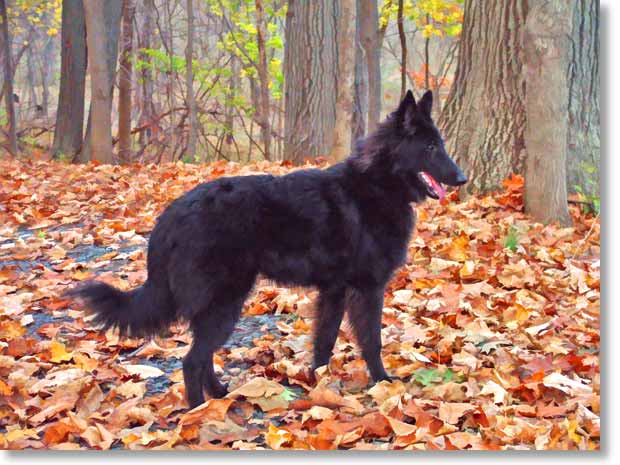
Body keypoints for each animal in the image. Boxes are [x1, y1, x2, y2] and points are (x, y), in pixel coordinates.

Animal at [71, 89, 464, 406]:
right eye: (430, 147)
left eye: (442, 144)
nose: (462, 178)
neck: (376, 184)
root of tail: (170, 214)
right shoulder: (368, 289)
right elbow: (372, 341)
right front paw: (382, 381)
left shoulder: (334, 291)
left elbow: (325, 340)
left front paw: (318, 383)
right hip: (225, 301)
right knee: (192, 359)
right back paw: (198, 410)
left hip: (224, 302)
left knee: (203, 353)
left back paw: (220, 394)